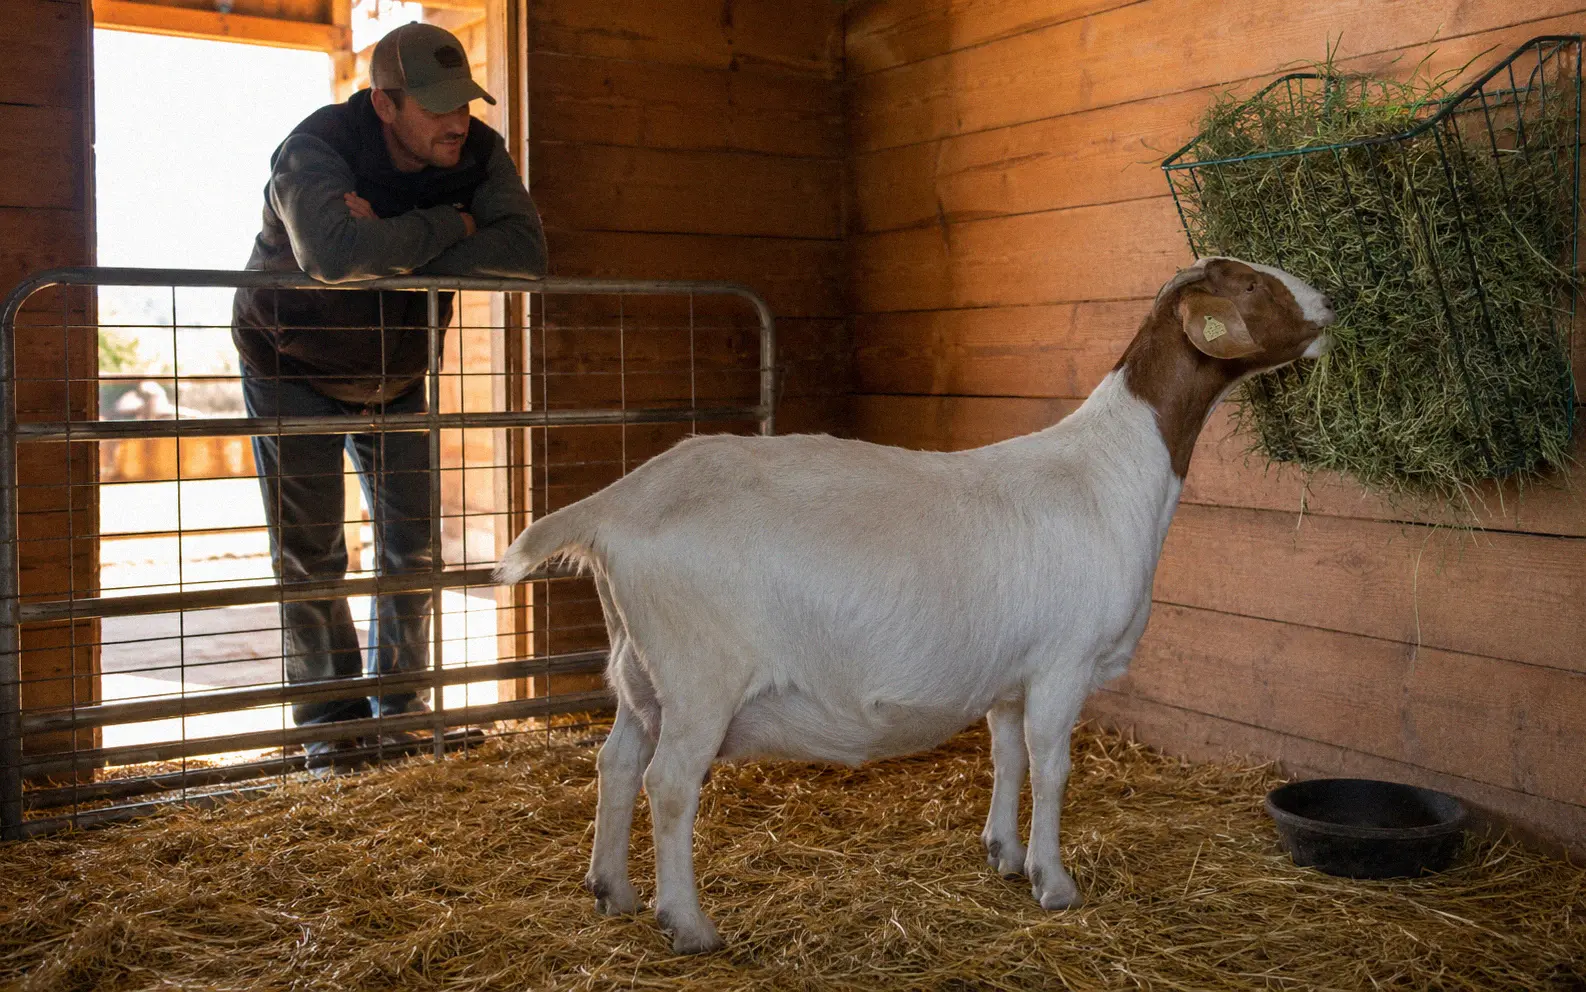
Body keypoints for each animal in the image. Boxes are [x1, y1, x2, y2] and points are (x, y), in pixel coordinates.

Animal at [494, 257, 1336, 954]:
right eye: (1251, 284)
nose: (1330, 303)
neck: (1114, 470)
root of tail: (617, 506)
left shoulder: (1011, 674)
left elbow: (1007, 756)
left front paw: (1004, 854)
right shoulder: (1063, 663)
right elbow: (1053, 766)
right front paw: (1055, 882)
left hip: (639, 666)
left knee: (616, 763)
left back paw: (613, 890)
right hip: (701, 671)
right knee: (668, 783)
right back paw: (690, 924)